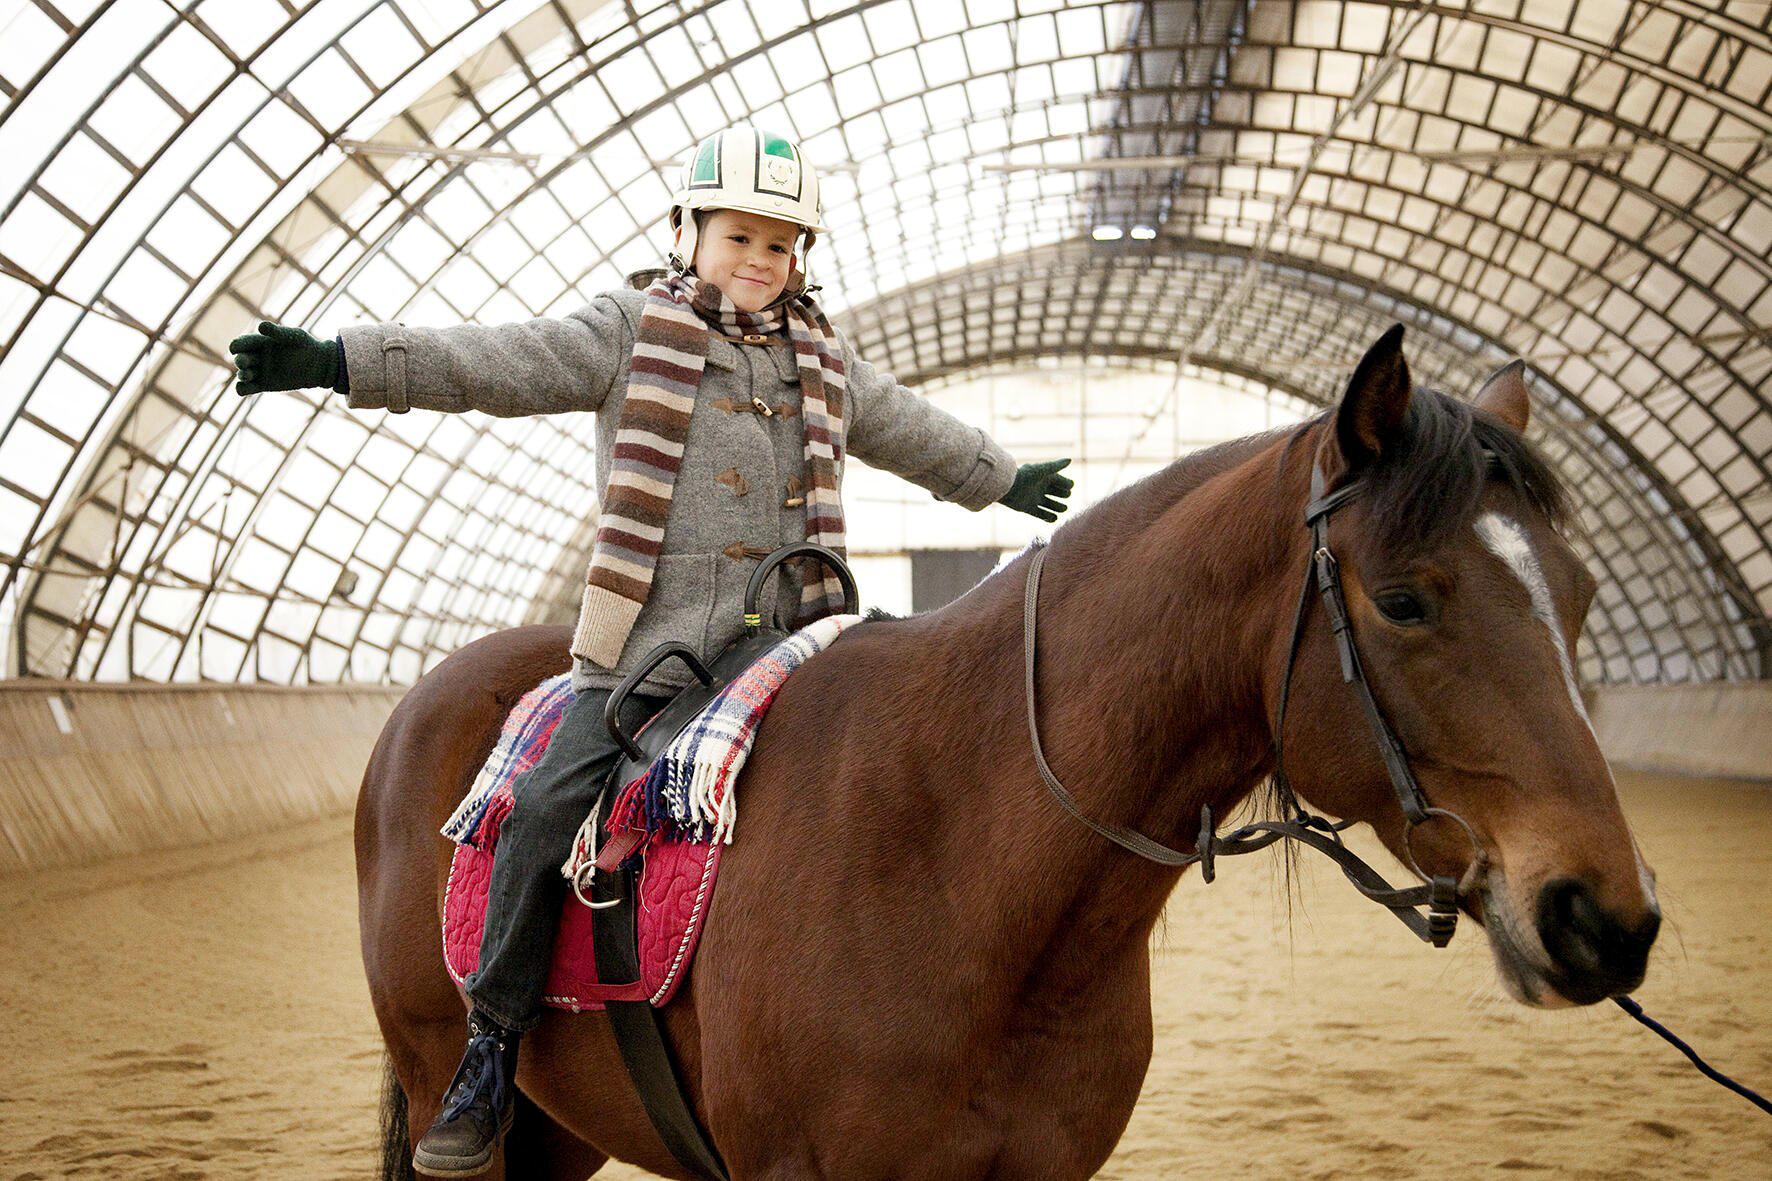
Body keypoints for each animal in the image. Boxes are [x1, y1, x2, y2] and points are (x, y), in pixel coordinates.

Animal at [356, 328, 1658, 1177]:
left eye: (1585, 595)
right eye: (1400, 600)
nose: (1603, 913)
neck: (958, 860)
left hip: (562, 1127)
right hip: (454, 1087)